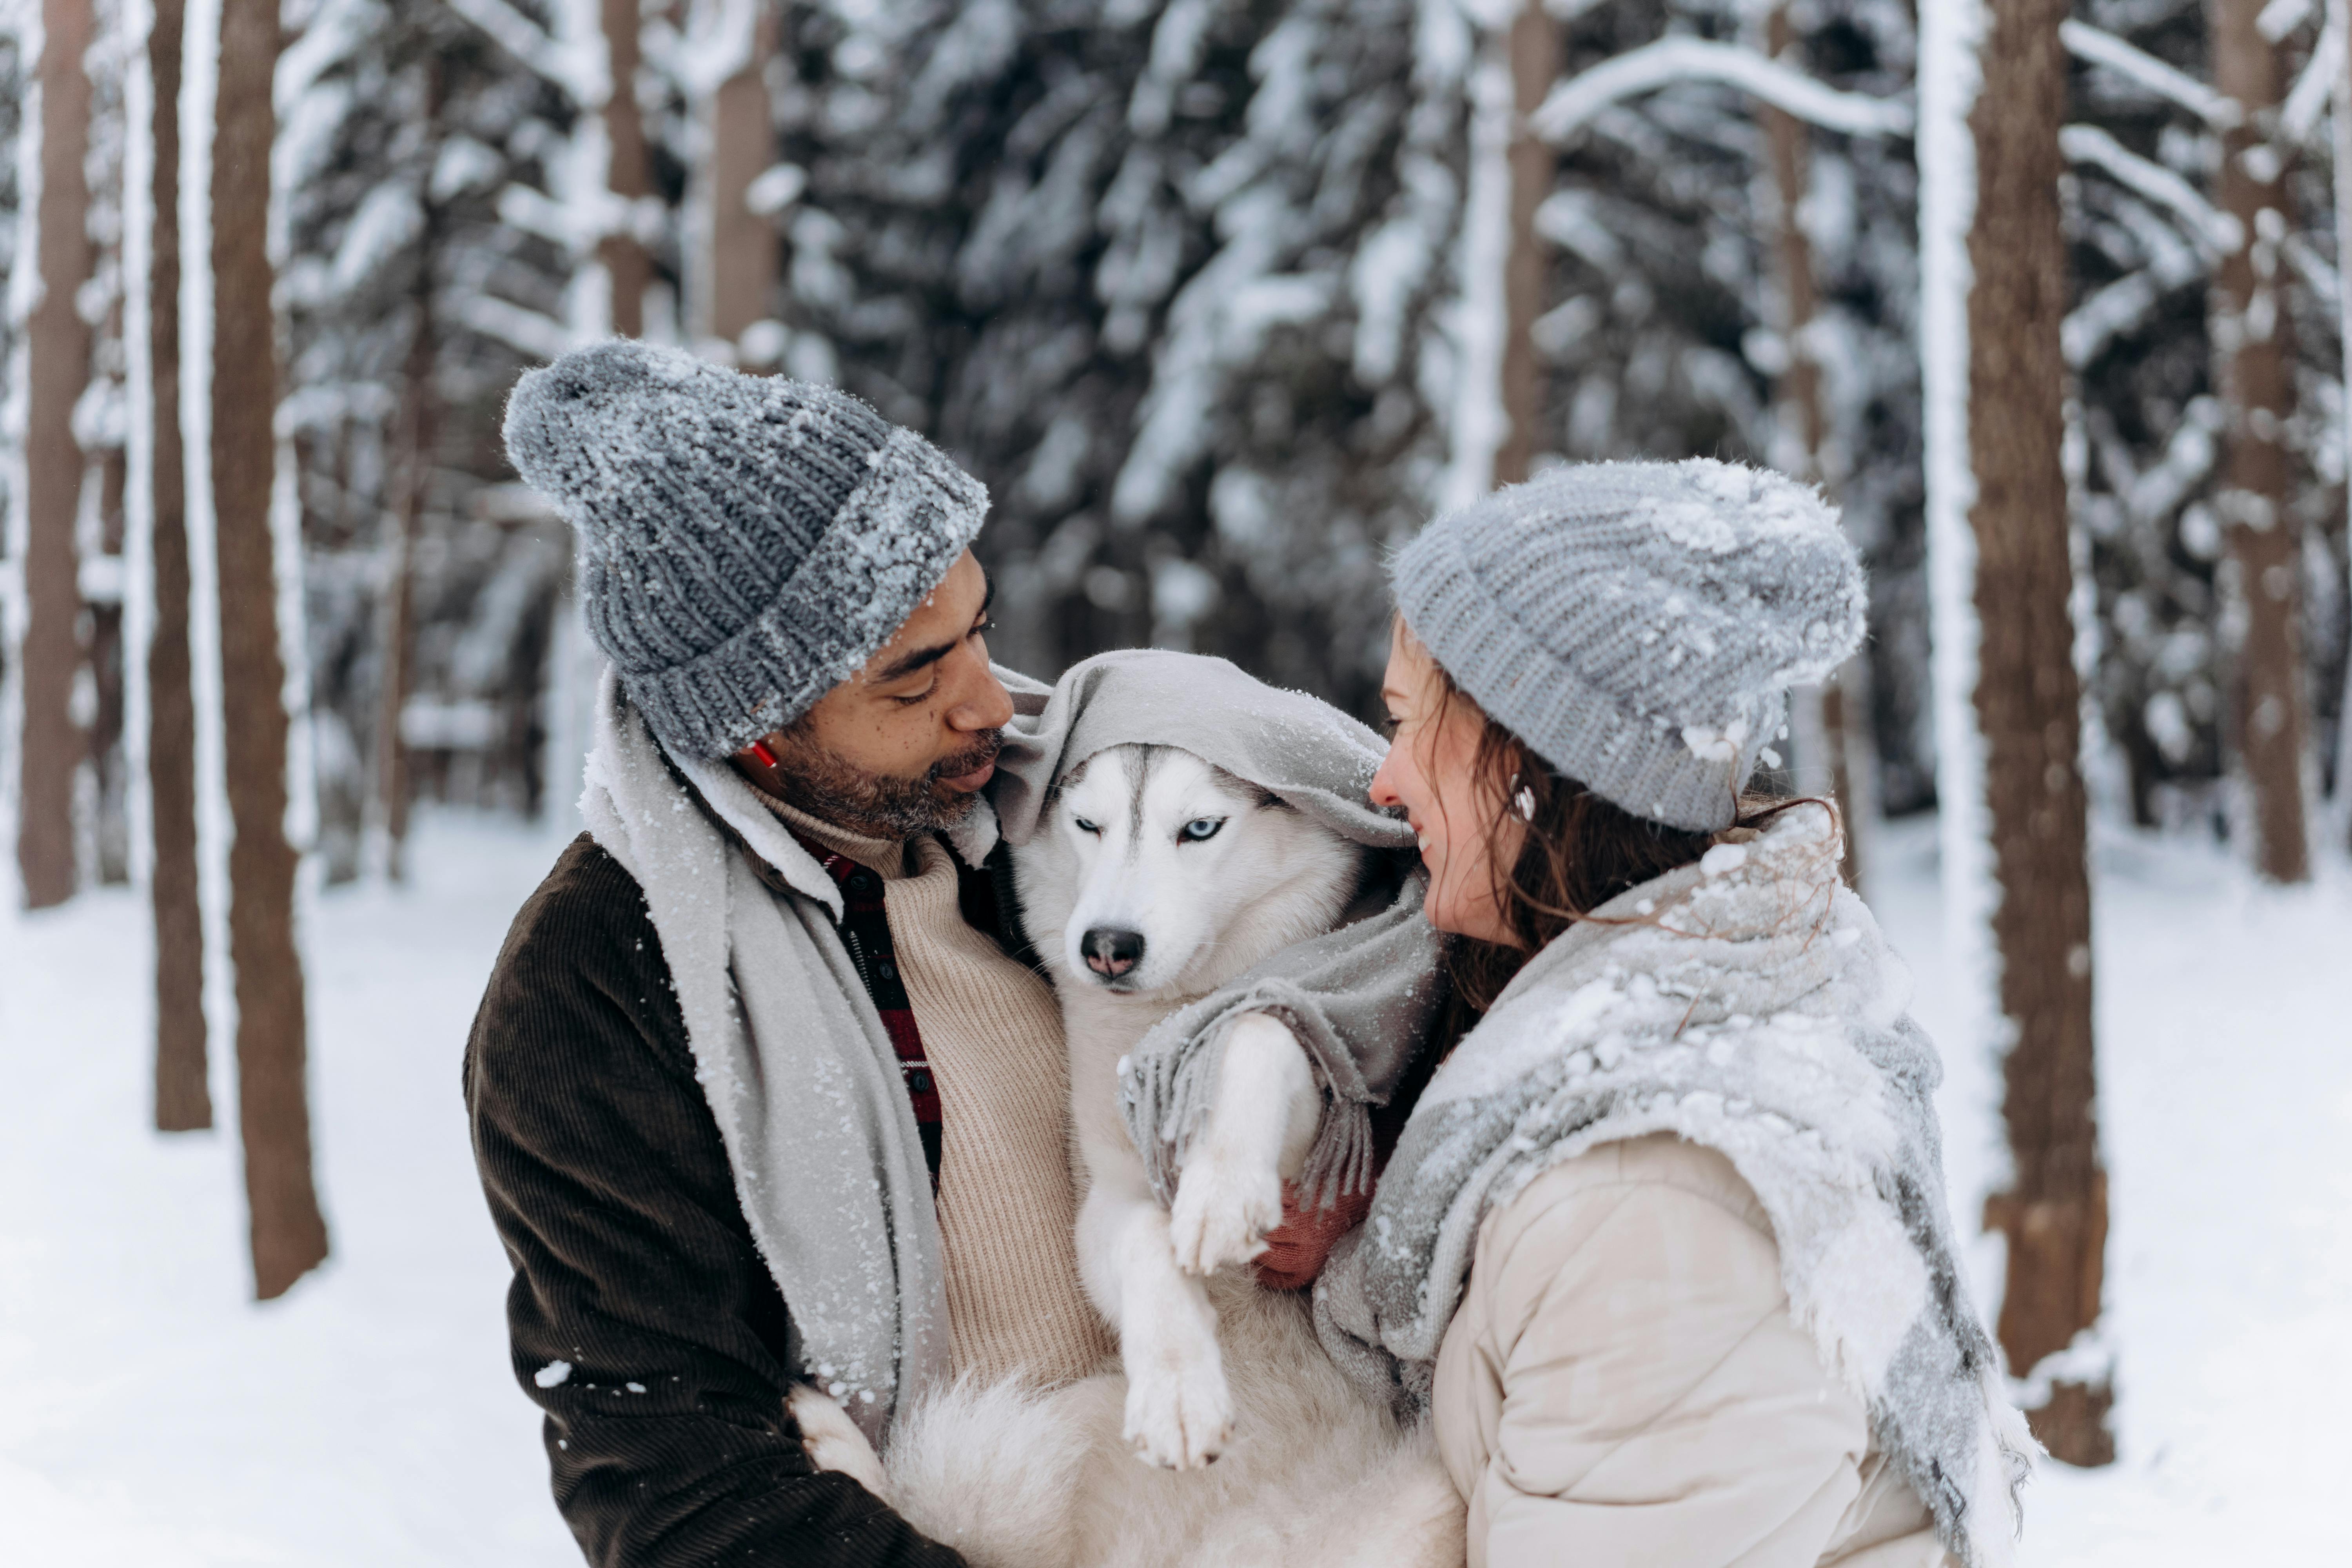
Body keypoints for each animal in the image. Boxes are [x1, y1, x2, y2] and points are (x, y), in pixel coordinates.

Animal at [786, 748, 1449, 1568]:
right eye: (1087, 824)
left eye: (1200, 828)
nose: (1108, 945)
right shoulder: (1109, 1201)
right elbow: (1144, 1244)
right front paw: (1179, 1389)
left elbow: (1257, 1025)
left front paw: (1222, 1190)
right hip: (1060, 1428)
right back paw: (833, 1440)